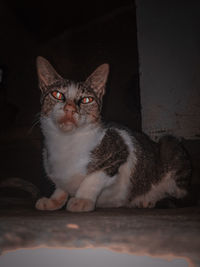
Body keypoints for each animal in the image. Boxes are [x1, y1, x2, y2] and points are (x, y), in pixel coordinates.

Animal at [34, 57, 191, 214]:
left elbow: (92, 178)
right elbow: (61, 186)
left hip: (170, 145)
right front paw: (54, 200)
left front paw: (82, 199)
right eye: (57, 95)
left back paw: (150, 199)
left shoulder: (120, 151)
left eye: (86, 100)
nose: (70, 108)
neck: (66, 141)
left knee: (180, 194)